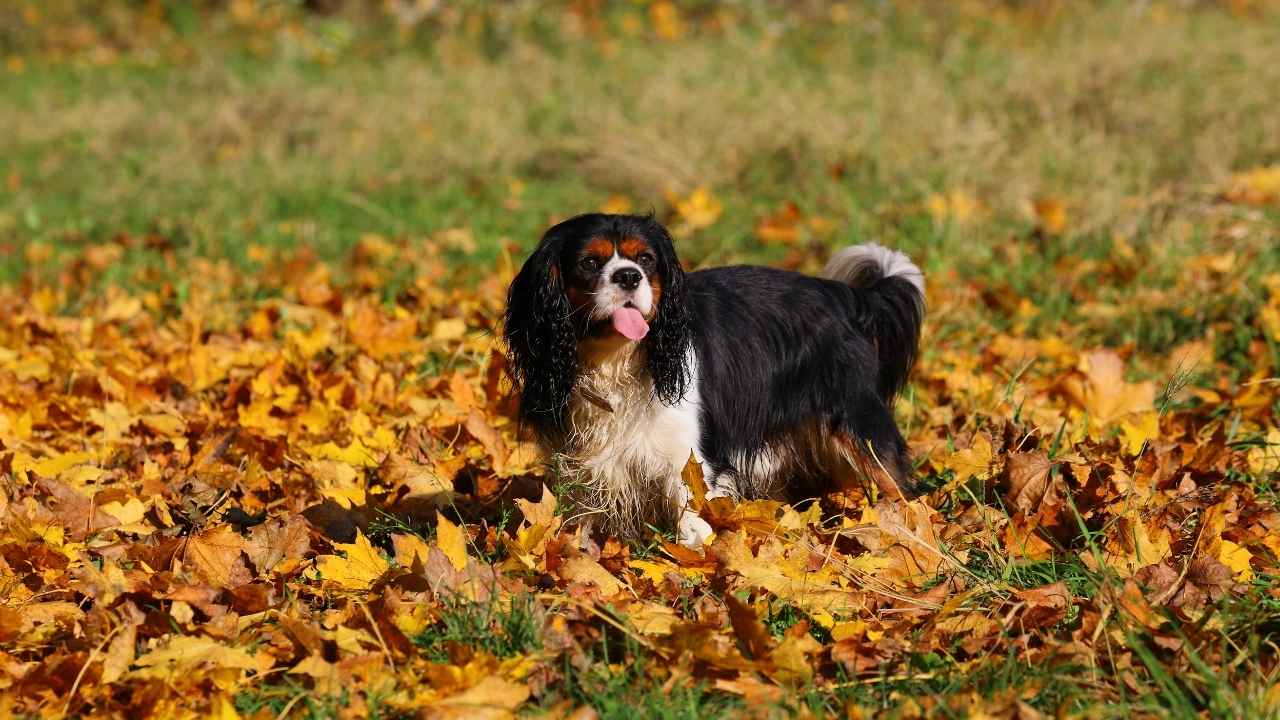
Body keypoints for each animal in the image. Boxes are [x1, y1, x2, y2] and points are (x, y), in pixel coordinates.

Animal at [504, 212, 926, 543]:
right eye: (590, 262)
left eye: (646, 259)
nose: (628, 276)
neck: (614, 361)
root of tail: (842, 296)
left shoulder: (685, 460)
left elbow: (692, 520)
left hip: (857, 421)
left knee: (898, 485)